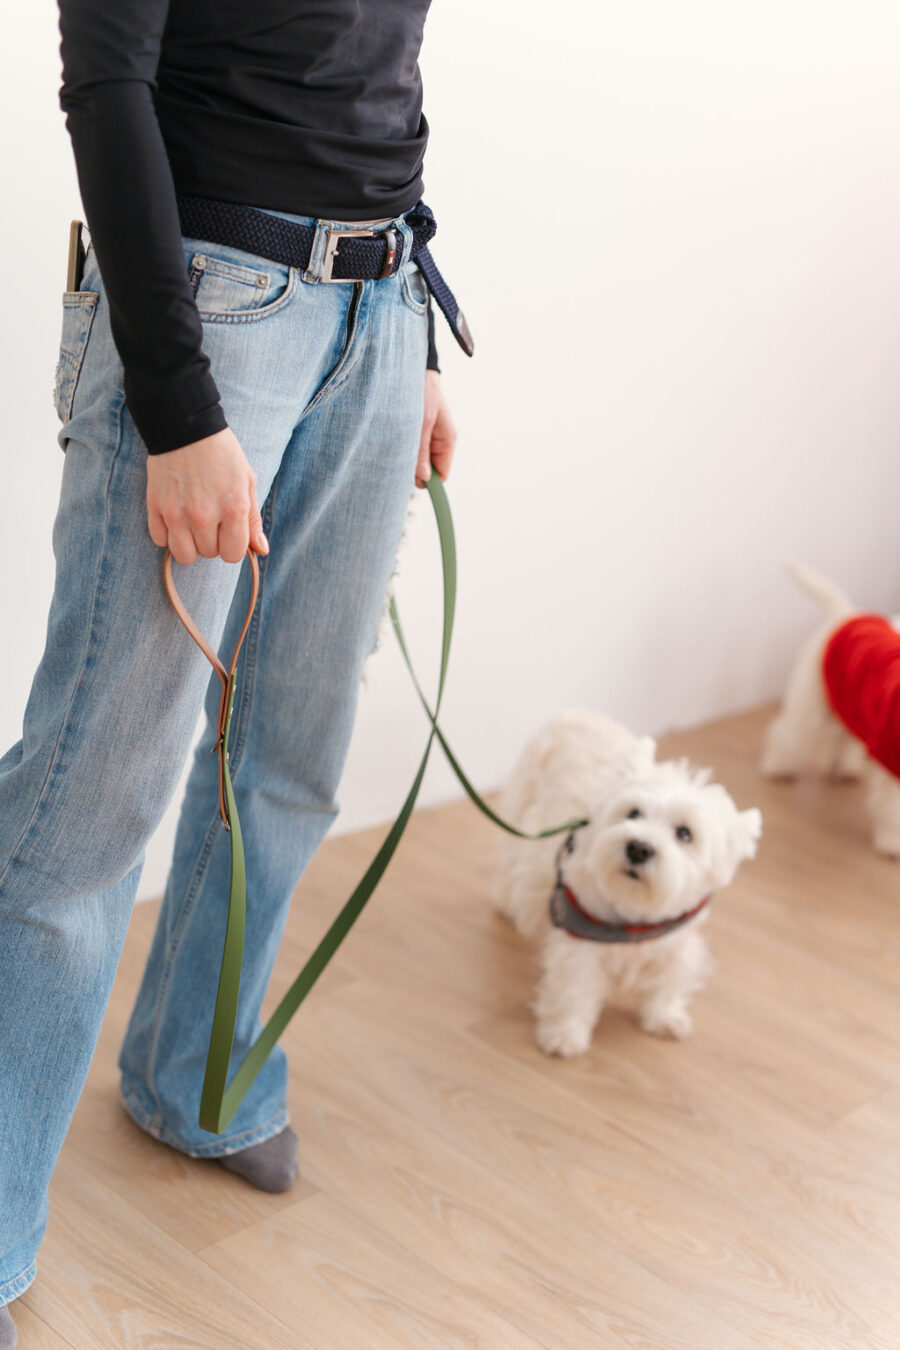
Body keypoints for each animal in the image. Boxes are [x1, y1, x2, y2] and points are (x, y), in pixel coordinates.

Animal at [496, 707, 766, 1053]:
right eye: (634, 813)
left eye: (684, 833)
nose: (638, 848)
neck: (634, 911)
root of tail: (578, 714)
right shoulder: (580, 944)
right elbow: (573, 991)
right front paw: (564, 1037)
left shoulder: (676, 944)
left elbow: (668, 982)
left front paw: (666, 1020)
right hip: (521, 810)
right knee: (510, 861)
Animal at [766, 558, 900, 853]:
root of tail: (843, 614)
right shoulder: (892, 762)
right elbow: (893, 809)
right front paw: (893, 842)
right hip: (812, 709)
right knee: (788, 735)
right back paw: (777, 768)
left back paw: (845, 769)